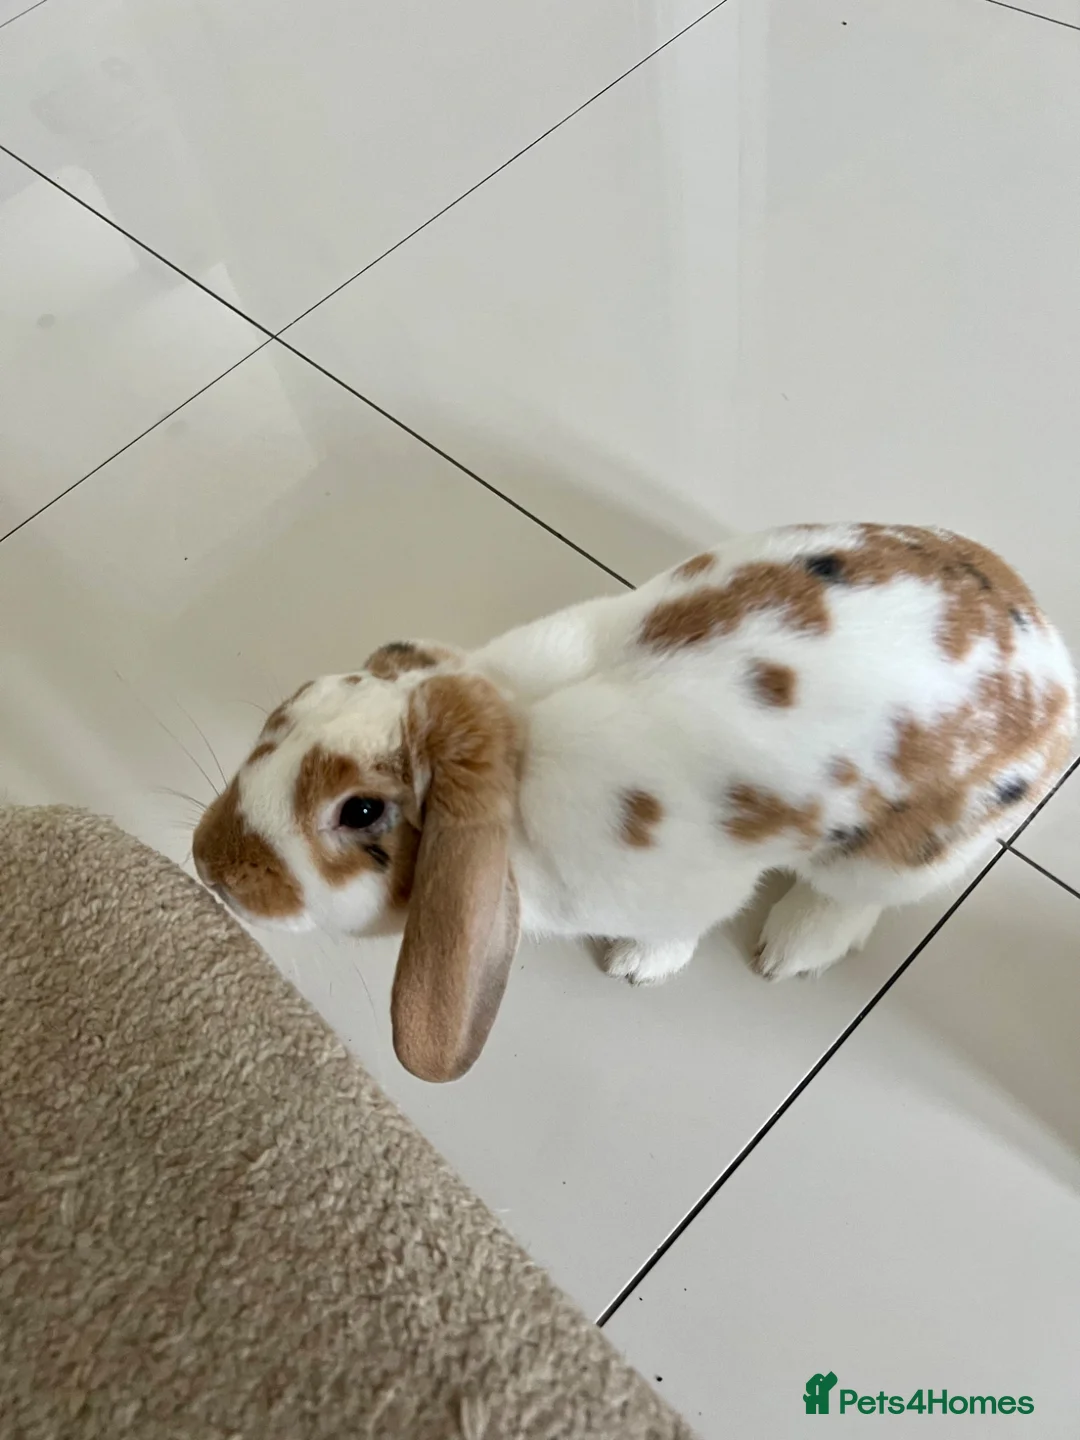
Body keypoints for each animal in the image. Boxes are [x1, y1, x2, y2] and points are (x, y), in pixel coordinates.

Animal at [193, 523, 1076, 1082]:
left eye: (361, 812)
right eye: (293, 704)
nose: (210, 864)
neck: (518, 741)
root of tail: (1053, 669)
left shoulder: (686, 891)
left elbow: (676, 930)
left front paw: (636, 966)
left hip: (895, 857)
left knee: (851, 899)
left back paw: (792, 947)